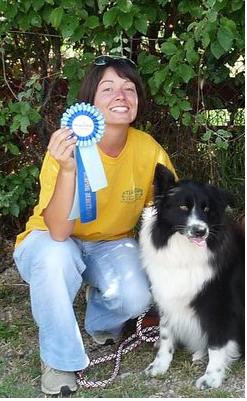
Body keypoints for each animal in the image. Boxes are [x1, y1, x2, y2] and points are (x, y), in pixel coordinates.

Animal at [140, 162, 244, 388]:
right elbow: (166, 336)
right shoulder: (167, 298)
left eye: (206, 209)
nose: (200, 231)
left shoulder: (220, 306)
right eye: (183, 207)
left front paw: (212, 377)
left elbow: (216, 344)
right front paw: (159, 365)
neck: (185, 251)